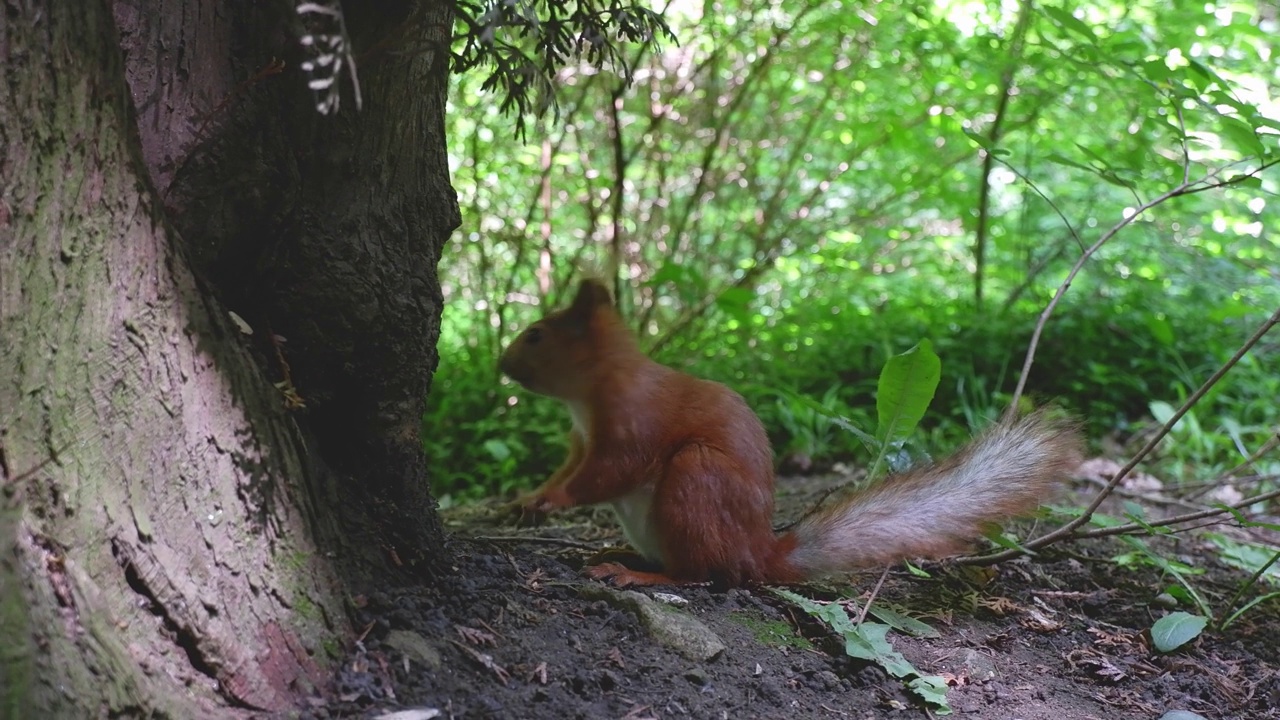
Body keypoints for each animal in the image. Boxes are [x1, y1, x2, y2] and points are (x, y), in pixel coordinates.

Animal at [496, 278, 1080, 586]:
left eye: (536, 335)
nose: (500, 364)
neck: (589, 394)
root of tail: (760, 554)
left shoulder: (634, 423)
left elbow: (609, 472)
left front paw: (553, 500)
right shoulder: (580, 439)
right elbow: (569, 468)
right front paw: (529, 497)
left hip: (696, 479)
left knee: (702, 574)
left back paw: (641, 575)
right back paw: (618, 554)